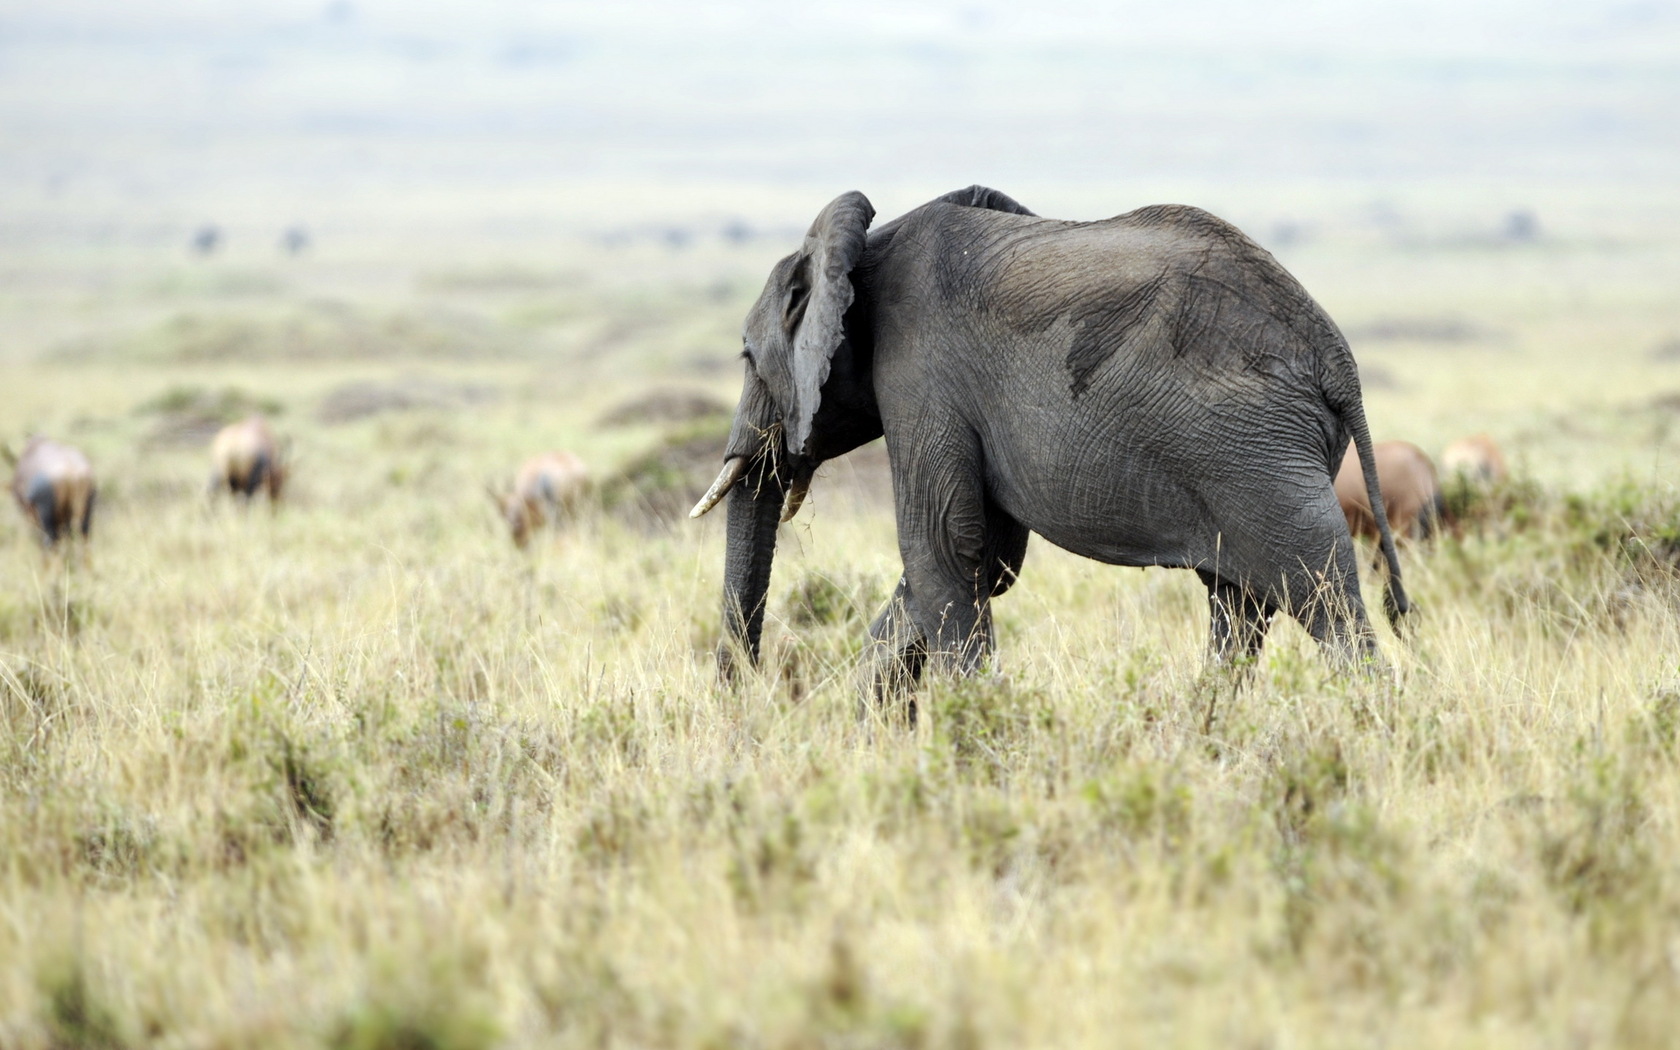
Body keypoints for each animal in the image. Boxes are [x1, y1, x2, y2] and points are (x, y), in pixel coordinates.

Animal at [688, 186, 1411, 695]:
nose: (744, 695)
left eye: (747, 358)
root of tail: (1337, 359)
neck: (866, 246)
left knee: (1322, 596)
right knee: (1239, 605)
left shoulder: (921, 375)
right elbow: (985, 560)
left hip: (1259, 457)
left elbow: (943, 546)